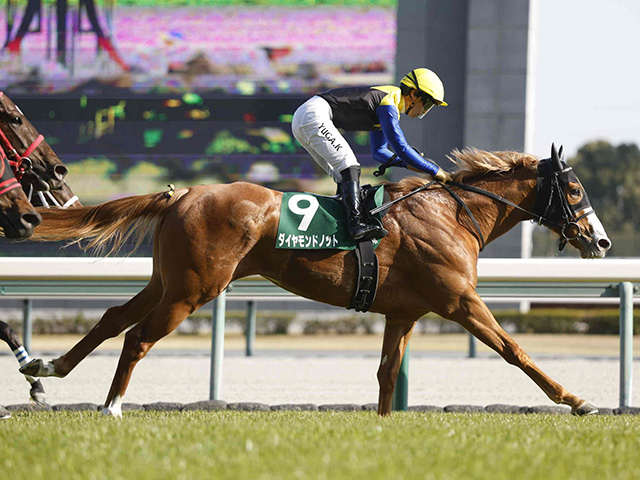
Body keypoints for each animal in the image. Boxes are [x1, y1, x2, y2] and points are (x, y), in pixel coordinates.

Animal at [22, 144, 611, 417]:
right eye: (575, 190)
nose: (601, 242)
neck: (454, 212)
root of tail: (183, 193)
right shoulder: (460, 300)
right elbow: (515, 350)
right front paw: (577, 400)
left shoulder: (403, 313)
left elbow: (386, 373)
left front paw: (385, 425)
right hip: (194, 289)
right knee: (138, 336)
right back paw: (111, 406)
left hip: (167, 281)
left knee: (112, 318)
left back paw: (45, 366)